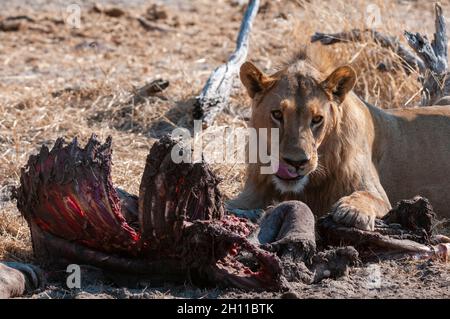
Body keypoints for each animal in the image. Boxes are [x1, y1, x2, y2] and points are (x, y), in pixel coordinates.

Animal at [229, 46, 450, 231]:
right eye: (277, 114)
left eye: (317, 119)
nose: (296, 162)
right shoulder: (251, 193)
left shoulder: (380, 196)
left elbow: (367, 195)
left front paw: (353, 211)